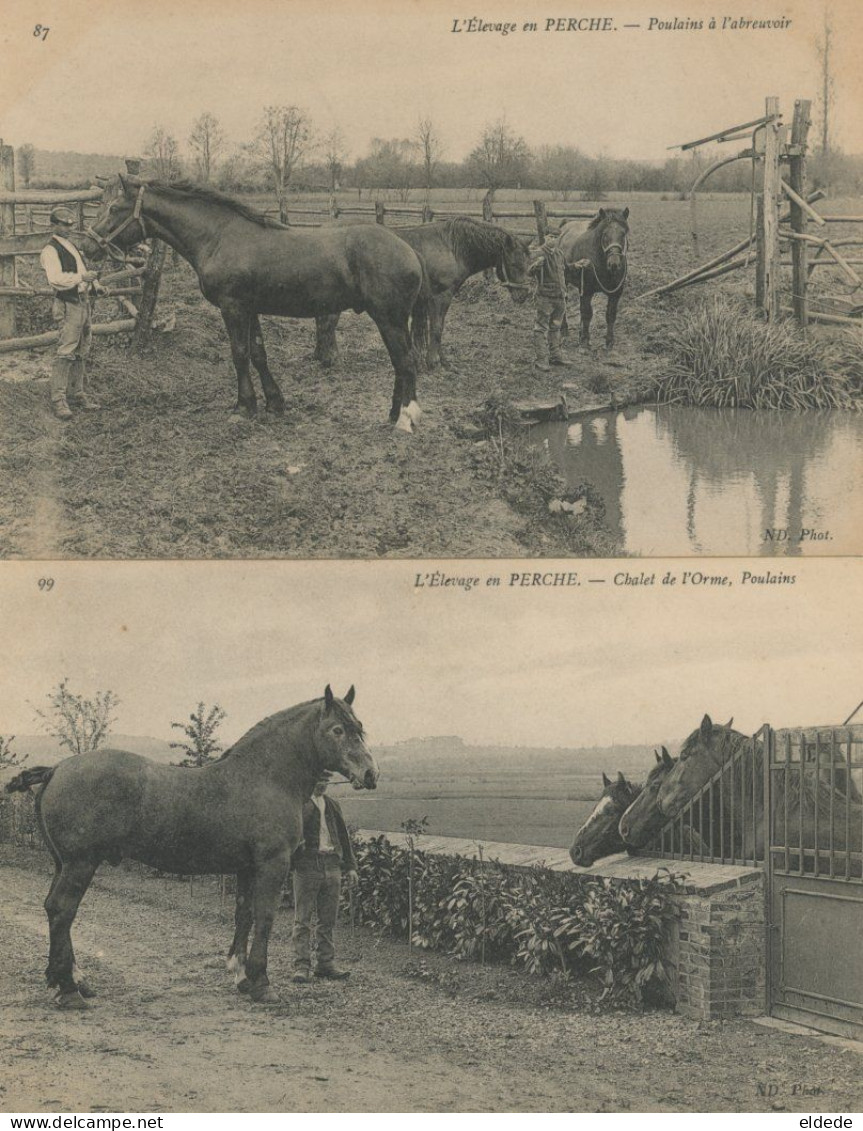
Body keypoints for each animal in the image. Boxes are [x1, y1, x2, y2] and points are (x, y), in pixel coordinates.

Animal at [6, 683, 377, 1013]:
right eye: (337, 730)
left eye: (360, 728)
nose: (371, 774)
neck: (264, 777)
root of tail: (57, 769)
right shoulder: (272, 864)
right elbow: (265, 917)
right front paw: (262, 984)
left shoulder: (246, 867)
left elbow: (244, 914)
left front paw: (241, 977)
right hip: (80, 863)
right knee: (62, 910)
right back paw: (69, 991)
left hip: (63, 864)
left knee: (54, 910)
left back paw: (68, 981)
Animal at [89, 178, 432, 429]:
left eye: (115, 207)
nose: (89, 243)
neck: (218, 237)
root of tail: (410, 251)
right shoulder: (249, 309)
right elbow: (258, 354)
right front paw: (274, 403)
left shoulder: (233, 308)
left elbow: (240, 354)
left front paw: (243, 407)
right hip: (393, 320)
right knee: (401, 364)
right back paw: (392, 414)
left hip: (388, 318)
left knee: (406, 361)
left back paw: (405, 419)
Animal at [314, 220, 533, 375]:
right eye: (514, 264)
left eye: (528, 264)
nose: (523, 294)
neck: (452, 247)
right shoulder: (440, 297)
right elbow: (436, 328)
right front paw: (433, 362)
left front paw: (440, 361)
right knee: (327, 324)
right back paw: (332, 359)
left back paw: (320, 355)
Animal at [556, 208, 633, 346]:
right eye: (605, 234)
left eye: (623, 234)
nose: (614, 264)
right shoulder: (587, 291)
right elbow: (587, 313)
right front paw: (585, 339)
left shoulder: (616, 293)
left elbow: (610, 315)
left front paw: (609, 340)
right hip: (563, 280)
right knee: (564, 301)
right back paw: (564, 329)